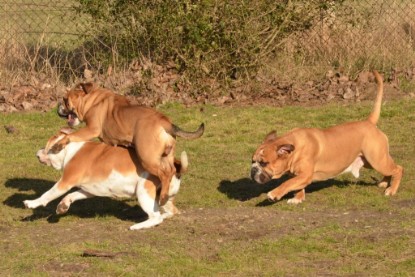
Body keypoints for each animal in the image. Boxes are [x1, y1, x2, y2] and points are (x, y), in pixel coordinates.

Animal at [23, 128, 189, 230]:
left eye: (46, 146)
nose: (37, 153)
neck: (70, 149)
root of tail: (175, 165)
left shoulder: (65, 182)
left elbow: (47, 194)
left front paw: (32, 203)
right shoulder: (88, 190)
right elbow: (72, 195)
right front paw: (63, 205)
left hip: (143, 192)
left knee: (156, 217)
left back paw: (138, 226)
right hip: (163, 197)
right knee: (171, 211)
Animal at [55, 83, 205, 206]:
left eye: (65, 100)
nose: (58, 107)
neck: (90, 100)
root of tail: (165, 122)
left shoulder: (91, 129)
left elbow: (71, 136)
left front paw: (59, 144)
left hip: (147, 157)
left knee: (165, 173)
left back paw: (163, 197)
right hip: (166, 155)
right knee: (173, 168)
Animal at [252, 70, 404, 202]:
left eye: (264, 163)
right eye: (252, 161)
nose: (253, 170)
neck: (294, 146)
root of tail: (369, 122)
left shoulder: (305, 175)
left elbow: (287, 183)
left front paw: (274, 194)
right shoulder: (299, 176)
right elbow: (296, 185)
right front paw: (298, 199)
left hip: (377, 159)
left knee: (398, 169)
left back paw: (391, 190)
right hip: (369, 161)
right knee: (390, 168)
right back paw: (384, 183)